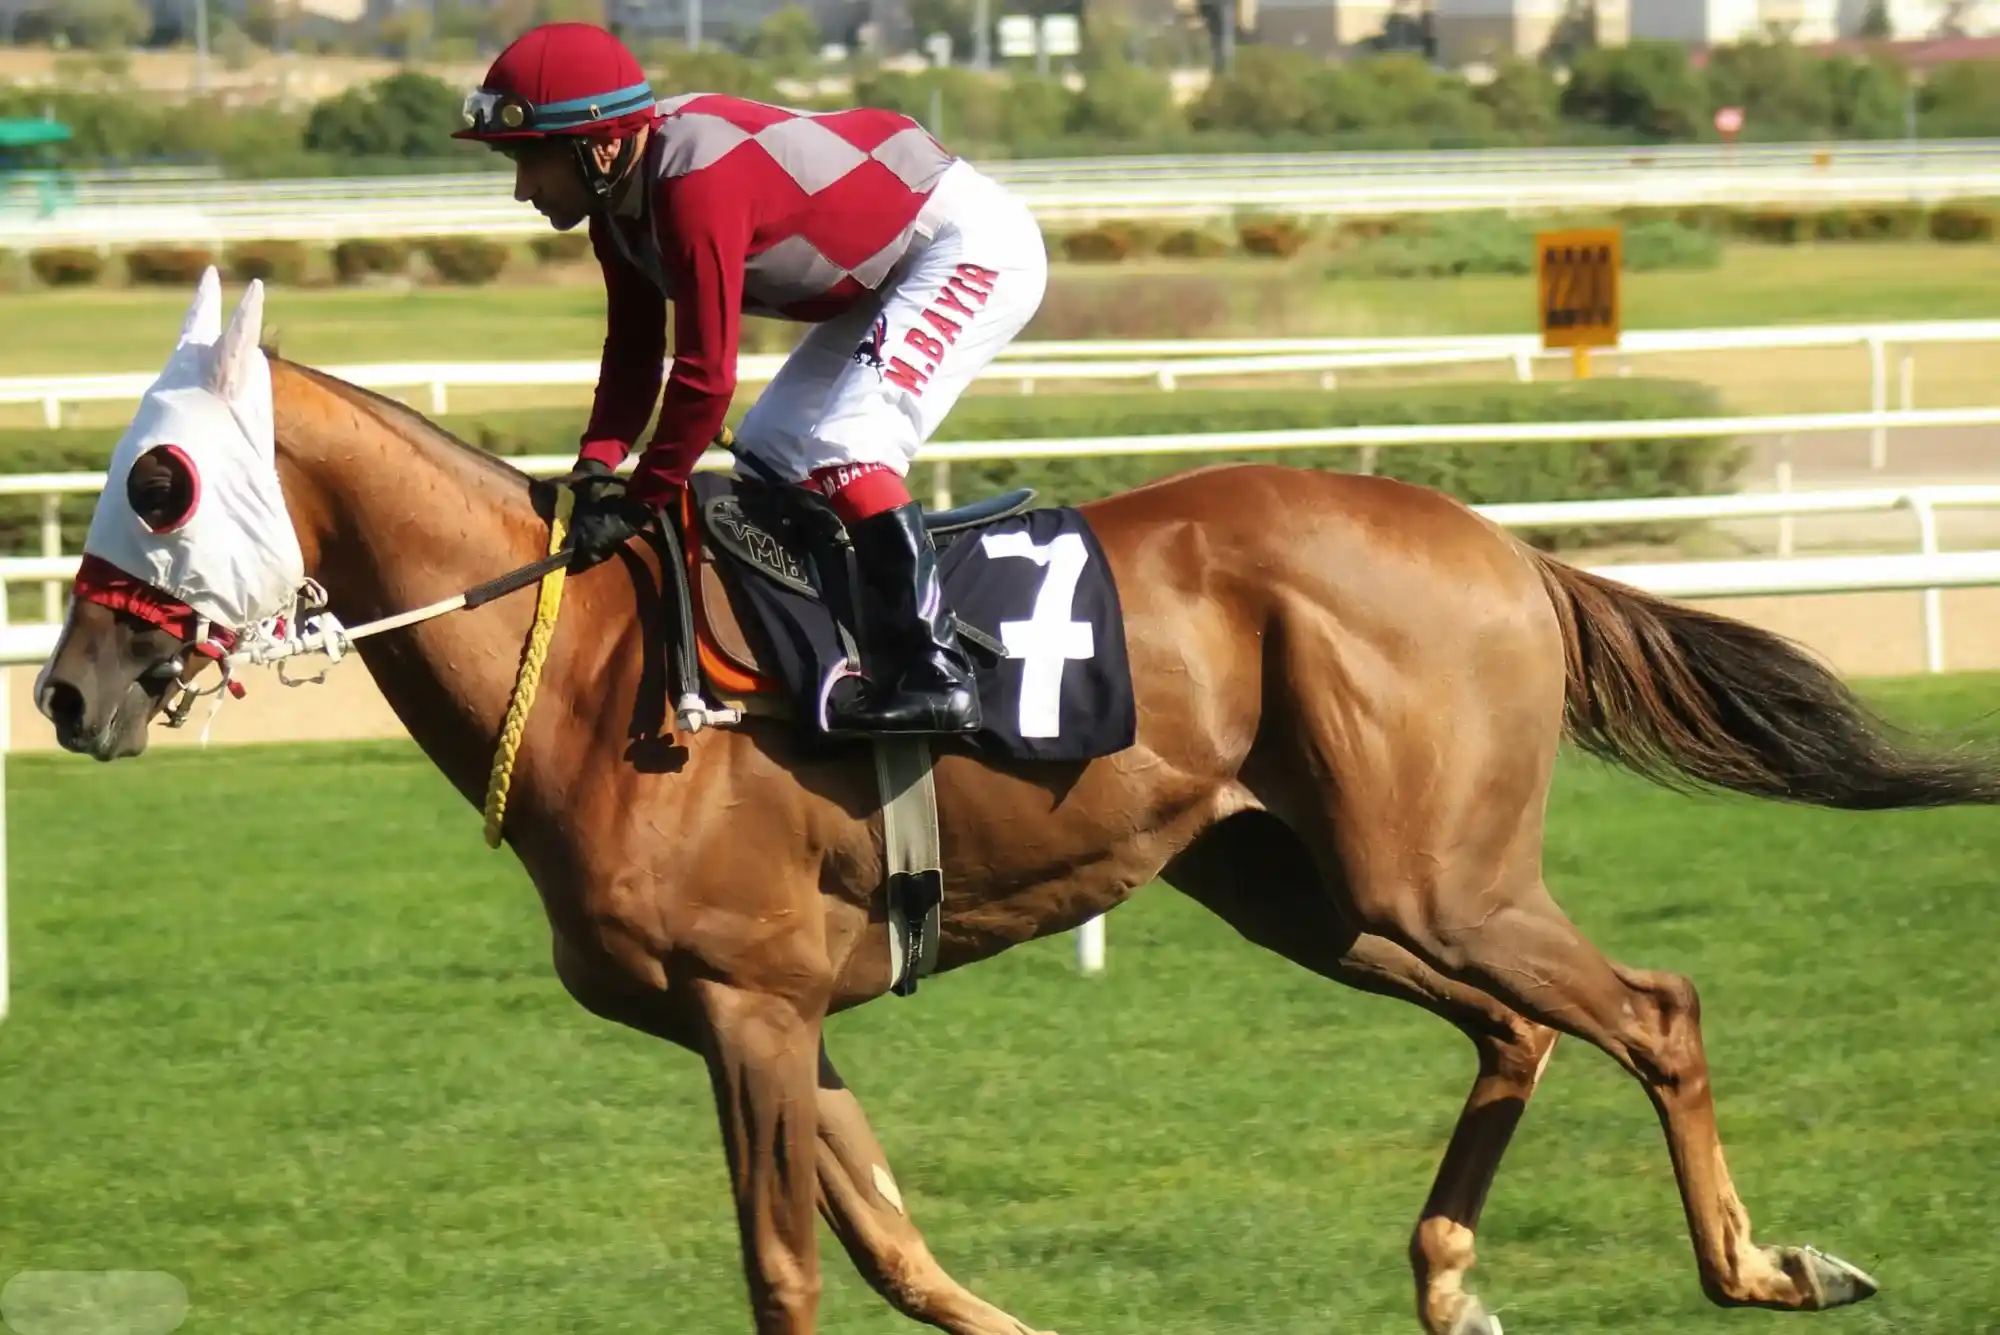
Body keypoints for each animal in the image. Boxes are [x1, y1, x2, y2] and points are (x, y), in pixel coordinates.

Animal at [35, 274, 2000, 1335]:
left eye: (163, 477)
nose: (66, 692)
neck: (596, 671)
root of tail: (1508, 547)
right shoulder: (768, 1018)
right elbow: (899, 1253)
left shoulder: (750, 1005)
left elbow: (792, 1271)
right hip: (1308, 887)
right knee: (1515, 1031)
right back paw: (1448, 1273)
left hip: (1433, 876)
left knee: (1651, 1009)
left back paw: (1764, 1265)